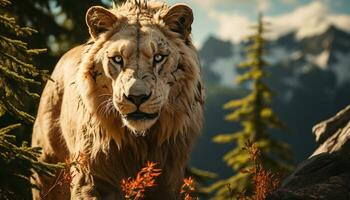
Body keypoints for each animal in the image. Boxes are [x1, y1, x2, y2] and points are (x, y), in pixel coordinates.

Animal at [31, 0, 204, 199]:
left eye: (159, 57)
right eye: (117, 59)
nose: (137, 97)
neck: (140, 143)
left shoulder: (169, 182)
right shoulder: (89, 179)